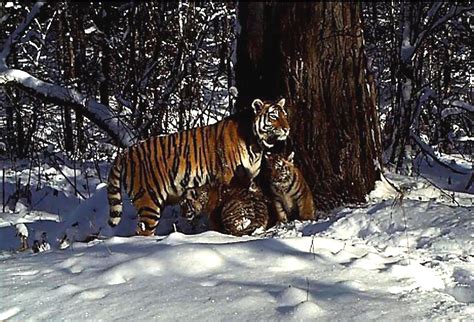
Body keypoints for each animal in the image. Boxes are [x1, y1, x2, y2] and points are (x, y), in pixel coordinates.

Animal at [107, 97, 288, 235]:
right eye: (273, 116)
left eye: (285, 115)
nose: (287, 129)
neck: (256, 144)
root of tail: (125, 153)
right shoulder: (228, 178)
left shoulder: (251, 178)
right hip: (148, 199)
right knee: (142, 231)